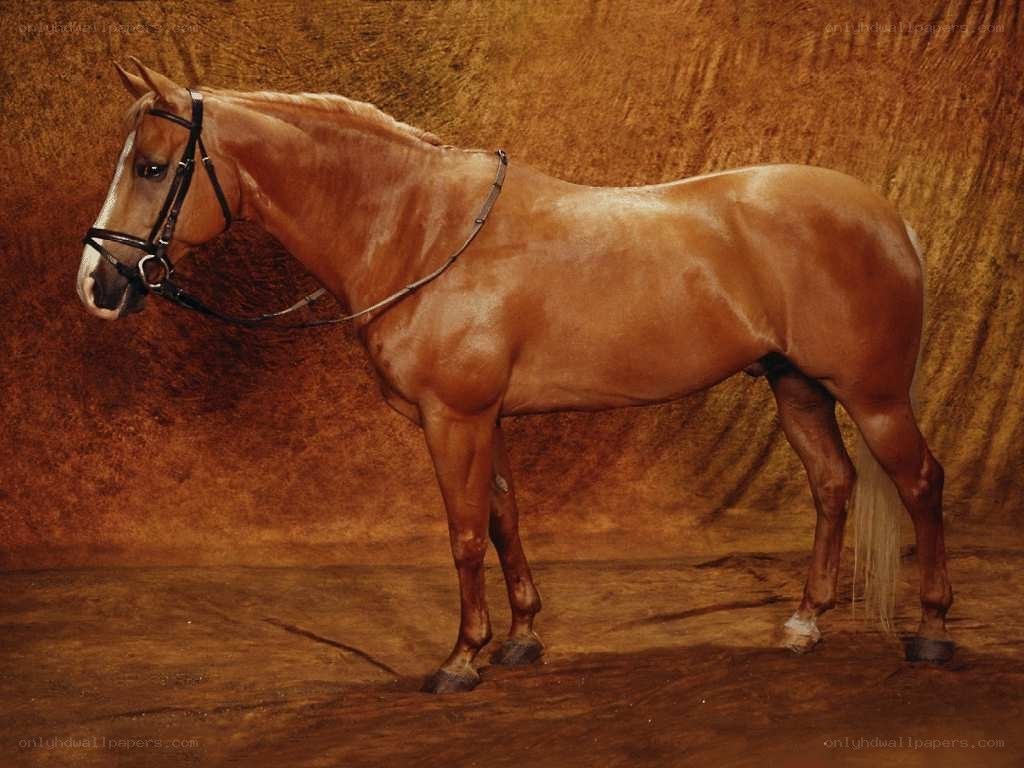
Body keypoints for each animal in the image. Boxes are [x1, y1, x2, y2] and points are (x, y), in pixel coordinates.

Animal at [77, 59, 954, 693]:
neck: (421, 229)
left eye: (152, 167)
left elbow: (465, 534)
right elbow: (503, 519)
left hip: (873, 398)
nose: (97, 285)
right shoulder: (485, 419)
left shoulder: (454, 418)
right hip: (796, 386)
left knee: (919, 483)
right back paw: (806, 623)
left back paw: (933, 632)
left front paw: (463, 658)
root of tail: (887, 216)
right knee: (834, 484)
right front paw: (523, 637)